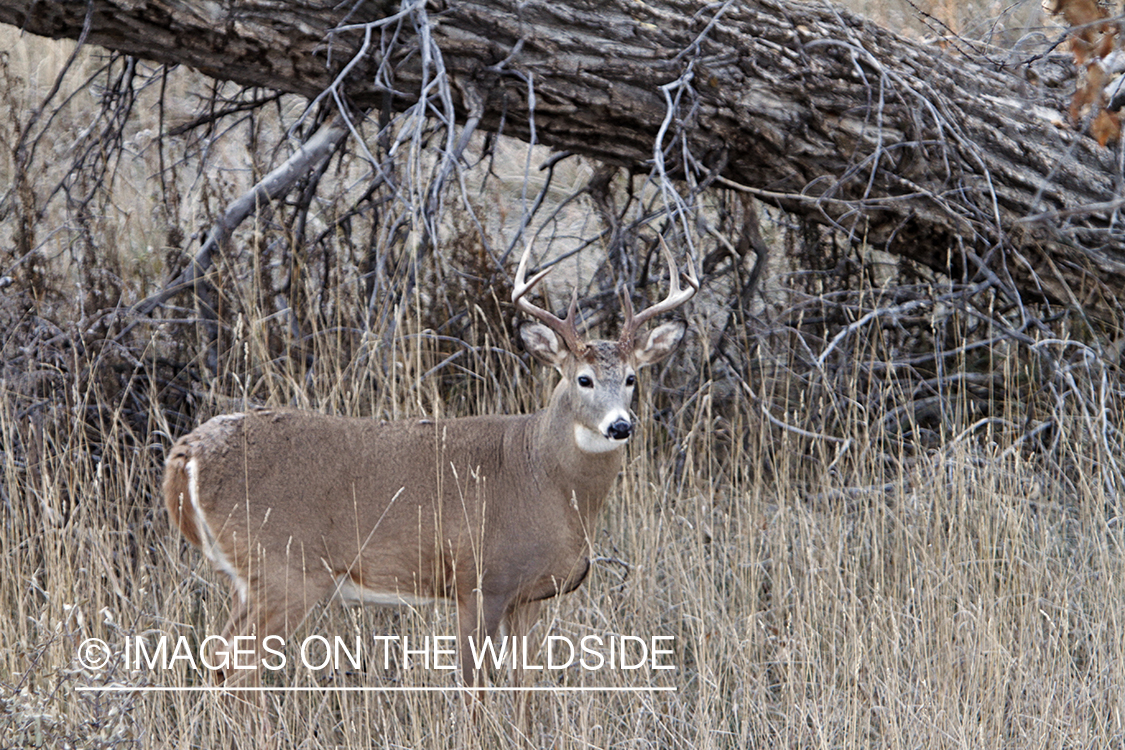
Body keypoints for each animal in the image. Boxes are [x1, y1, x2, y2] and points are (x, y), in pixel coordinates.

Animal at [164, 244, 697, 688]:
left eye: (632, 378)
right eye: (583, 378)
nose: (620, 426)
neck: (543, 478)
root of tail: (187, 452)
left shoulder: (529, 597)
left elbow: (526, 688)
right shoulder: (478, 579)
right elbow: (473, 685)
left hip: (252, 578)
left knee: (217, 657)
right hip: (283, 569)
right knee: (236, 663)